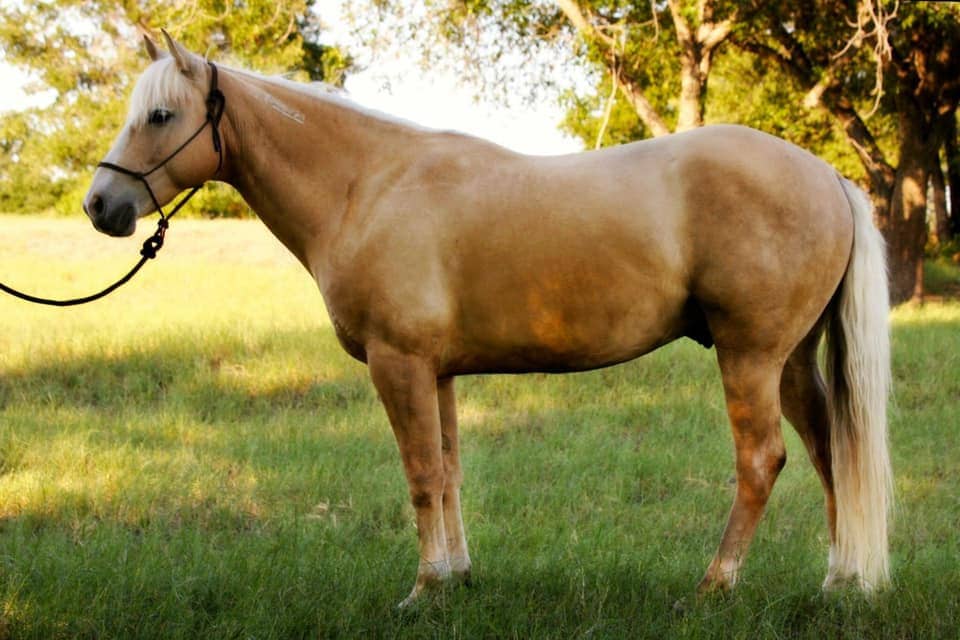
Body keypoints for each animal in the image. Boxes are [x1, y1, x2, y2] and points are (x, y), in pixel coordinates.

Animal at [82, 32, 892, 608]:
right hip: (790, 360)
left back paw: (714, 585)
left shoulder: (399, 364)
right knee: (830, 450)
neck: (366, 187)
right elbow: (447, 471)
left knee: (762, 460)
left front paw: (423, 590)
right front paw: (458, 576)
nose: (100, 206)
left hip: (748, 356)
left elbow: (419, 474)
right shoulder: (435, 372)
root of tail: (826, 175)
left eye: (160, 115)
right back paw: (838, 581)